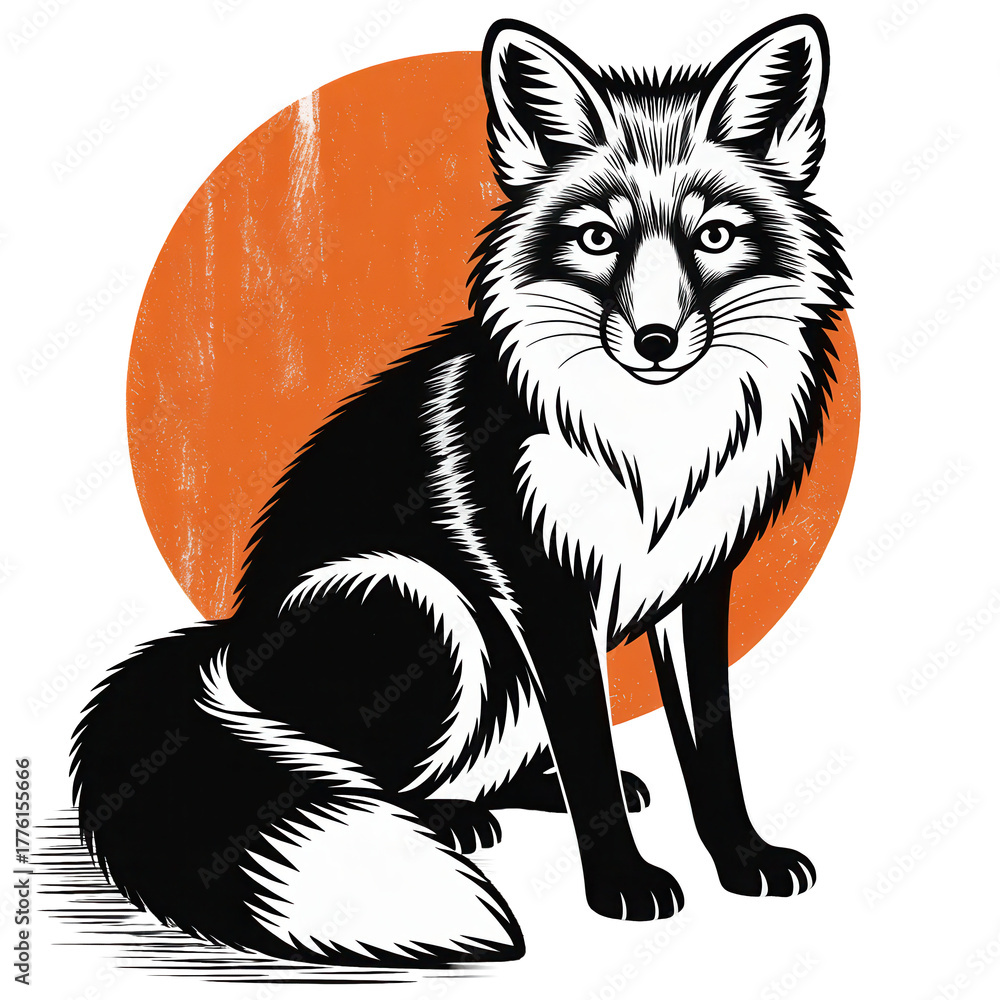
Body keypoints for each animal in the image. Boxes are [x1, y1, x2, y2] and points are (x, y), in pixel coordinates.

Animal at [72, 15, 850, 967]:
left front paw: (741, 858)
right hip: (430, 609)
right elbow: (589, 746)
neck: (647, 451)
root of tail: (228, 641)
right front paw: (620, 884)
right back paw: (445, 824)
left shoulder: (700, 586)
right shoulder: (545, 587)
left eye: (715, 237)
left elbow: (713, 749)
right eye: (598, 239)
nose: (657, 341)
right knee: (360, 775)